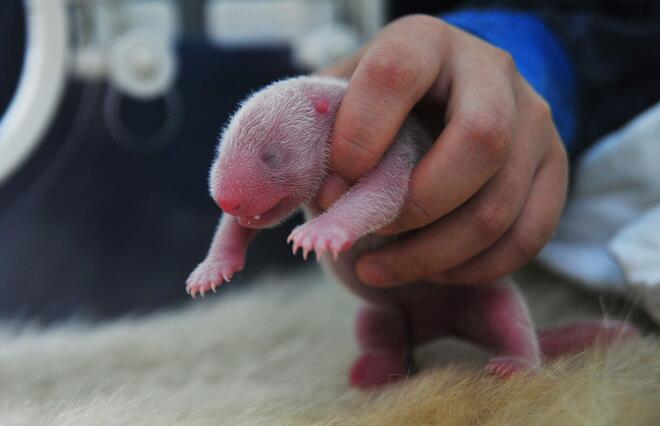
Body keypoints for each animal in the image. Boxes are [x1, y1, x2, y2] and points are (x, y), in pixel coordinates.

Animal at [184, 75, 636, 388]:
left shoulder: (394, 139)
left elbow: (382, 193)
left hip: (482, 296)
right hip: (385, 312)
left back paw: (519, 363)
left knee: (508, 317)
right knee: (376, 326)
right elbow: (241, 228)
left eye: (271, 156)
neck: (337, 100)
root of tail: (437, 326)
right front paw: (213, 267)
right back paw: (377, 370)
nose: (226, 198)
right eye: (221, 149)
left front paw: (322, 230)